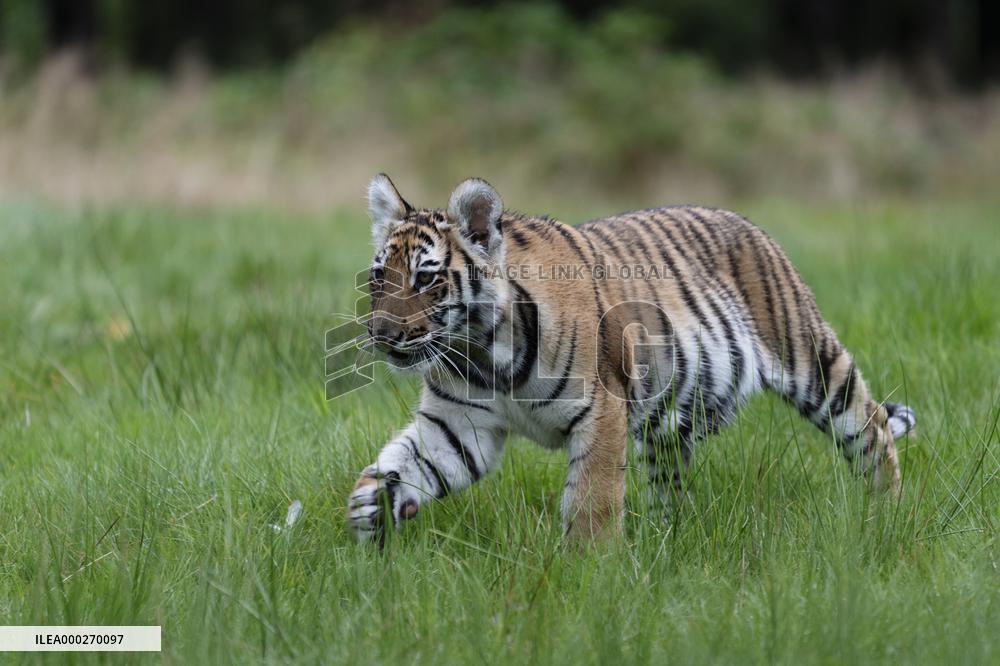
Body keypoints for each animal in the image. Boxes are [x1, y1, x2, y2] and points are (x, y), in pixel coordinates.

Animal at [347, 173, 916, 543]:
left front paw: (588, 574)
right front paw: (368, 504)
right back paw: (668, 541)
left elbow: (592, 500)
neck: (481, 351)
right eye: (379, 276)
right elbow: (407, 460)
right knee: (673, 488)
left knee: (871, 428)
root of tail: (746, 221)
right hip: (670, 424)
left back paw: (886, 519)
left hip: (810, 357)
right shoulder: (460, 426)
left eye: (425, 278)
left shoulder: (600, 410)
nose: (381, 333)